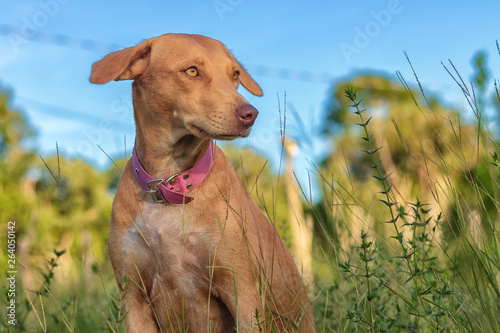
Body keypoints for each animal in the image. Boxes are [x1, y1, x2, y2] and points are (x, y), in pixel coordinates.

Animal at [89, 32, 314, 330]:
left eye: (235, 74)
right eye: (192, 71)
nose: (250, 114)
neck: (170, 184)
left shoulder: (242, 292)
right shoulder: (133, 298)